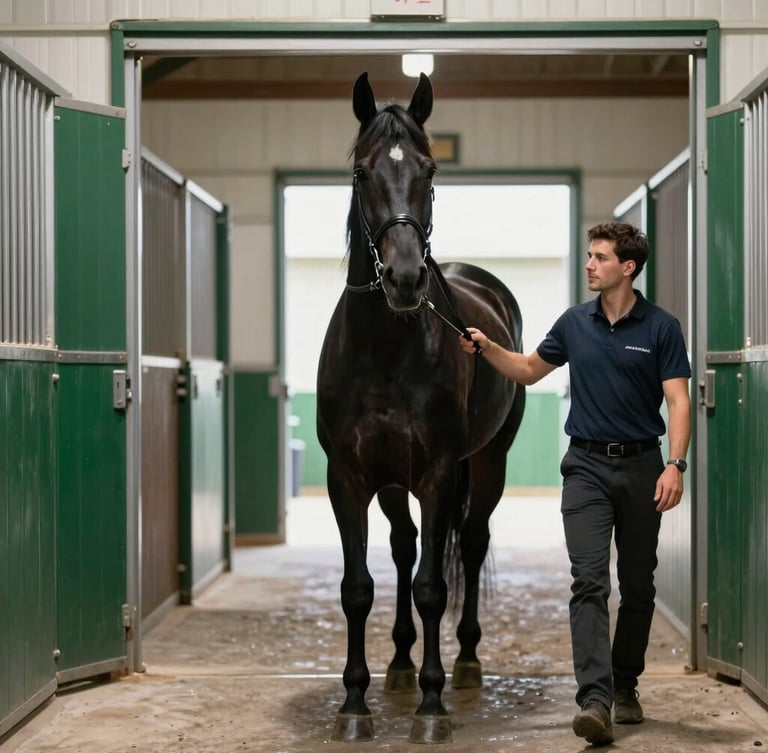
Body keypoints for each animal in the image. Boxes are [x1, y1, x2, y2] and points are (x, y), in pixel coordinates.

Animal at [316, 72, 526, 744]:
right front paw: (355, 704)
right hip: (393, 482)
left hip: (486, 464)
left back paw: (465, 662)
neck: (387, 348)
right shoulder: (349, 478)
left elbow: (434, 586)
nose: (405, 279)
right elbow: (359, 587)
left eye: (430, 170)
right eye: (362, 172)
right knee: (405, 546)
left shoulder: (436, 475)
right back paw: (402, 664)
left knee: (471, 543)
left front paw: (432, 707)